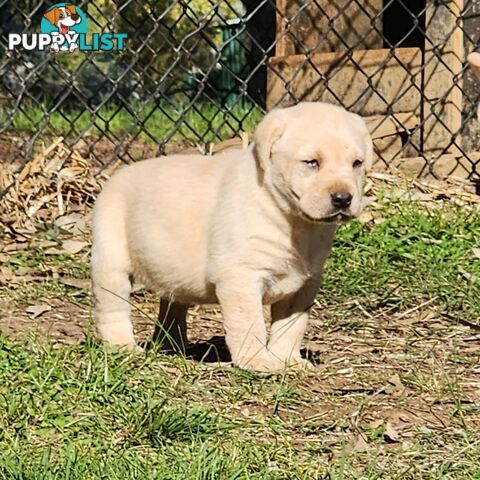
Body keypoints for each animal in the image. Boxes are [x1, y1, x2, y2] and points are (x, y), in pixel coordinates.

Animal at [92, 101, 374, 372]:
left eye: (357, 164)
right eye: (312, 162)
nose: (343, 198)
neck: (295, 222)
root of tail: (116, 175)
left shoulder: (305, 284)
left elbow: (291, 327)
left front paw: (288, 360)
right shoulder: (241, 277)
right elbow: (250, 323)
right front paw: (257, 361)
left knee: (173, 305)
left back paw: (172, 345)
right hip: (110, 259)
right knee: (113, 307)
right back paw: (123, 346)